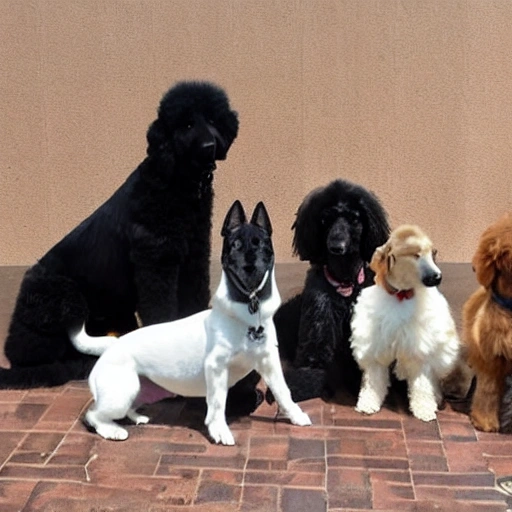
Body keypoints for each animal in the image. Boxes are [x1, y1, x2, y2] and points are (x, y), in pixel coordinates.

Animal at [71, 200, 312, 444]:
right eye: (235, 245)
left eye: (261, 244)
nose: (250, 268)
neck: (247, 313)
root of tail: (113, 344)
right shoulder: (216, 367)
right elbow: (218, 403)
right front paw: (219, 431)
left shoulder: (269, 362)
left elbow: (283, 392)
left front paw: (296, 415)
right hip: (121, 392)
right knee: (93, 415)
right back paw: (113, 430)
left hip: (141, 390)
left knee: (126, 407)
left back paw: (137, 417)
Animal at [352, 226, 460, 422]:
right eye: (415, 255)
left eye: (433, 253)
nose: (438, 277)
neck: (401, 295)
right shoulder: (376, 346)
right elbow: (373, 379)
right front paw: (368, 403)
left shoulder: (419, 351)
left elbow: (422, 384)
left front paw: (424, 410)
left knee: (432, 379)